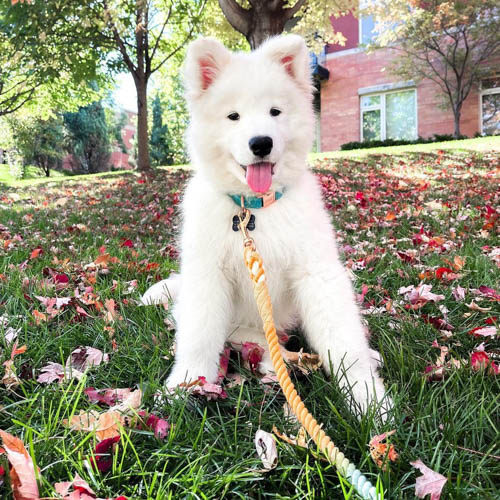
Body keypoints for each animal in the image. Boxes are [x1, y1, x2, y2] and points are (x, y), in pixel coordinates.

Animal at [145, 35, 390, 416]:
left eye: (275, 112)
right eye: (233, 116)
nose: (261, 142)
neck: (253, 210)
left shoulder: (316, 274)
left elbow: (343, 341)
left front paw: (367, 399)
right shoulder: (208, 277)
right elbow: (200, 338)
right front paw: (183, 387)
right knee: (251, 339)